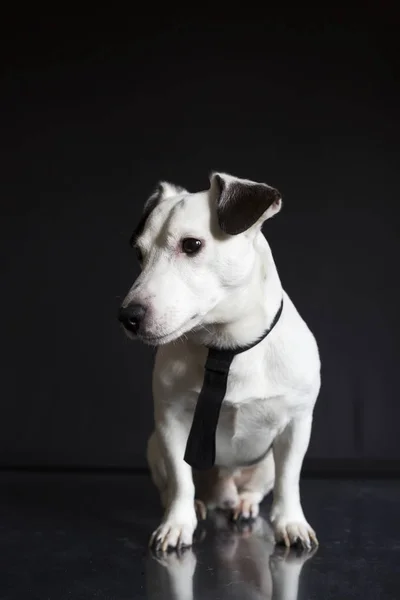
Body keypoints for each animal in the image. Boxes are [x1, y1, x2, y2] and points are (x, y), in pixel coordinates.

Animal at [119, 171, 322, 552]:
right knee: (172, 486)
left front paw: (291, 522)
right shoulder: (171, 425)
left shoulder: (296, 425)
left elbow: (290, 480)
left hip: (264, 464)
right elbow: (181, 479)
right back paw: (196, 505)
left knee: (257, 488)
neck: (226, 347)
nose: (128, 317)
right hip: (154, 447)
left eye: (191, 245)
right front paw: (177, 522)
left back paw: (243, 504)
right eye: (139, 254)